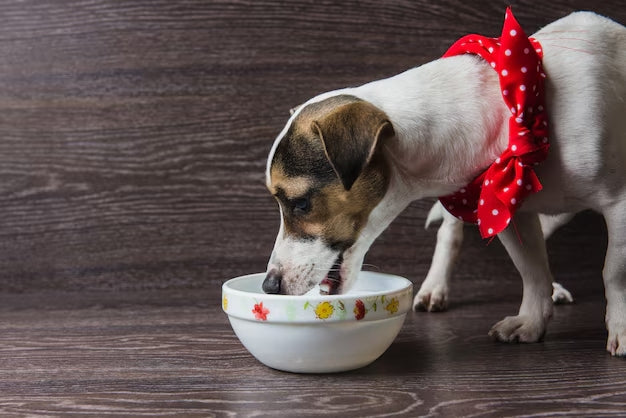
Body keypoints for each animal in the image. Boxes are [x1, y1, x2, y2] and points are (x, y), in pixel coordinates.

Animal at [262, 10, 624, 356]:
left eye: (301, 203)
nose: (269, 286)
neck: (517, 108)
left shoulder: (617, 205)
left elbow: (613, 271)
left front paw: (619, 328)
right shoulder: (504, 209)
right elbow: (531, 270)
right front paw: (532, 322)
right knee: (451, 233)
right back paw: (438, 285)